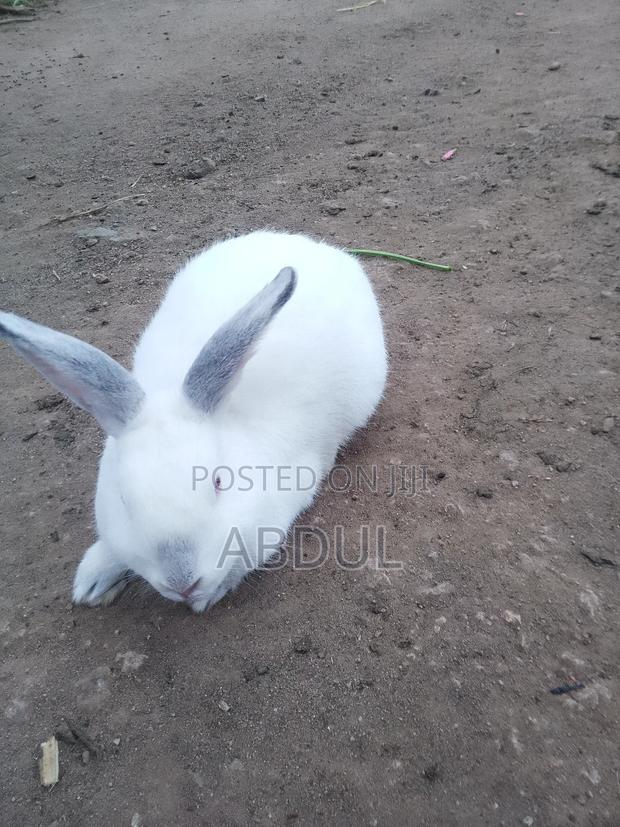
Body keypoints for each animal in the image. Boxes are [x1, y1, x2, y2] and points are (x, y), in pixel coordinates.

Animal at [0, 231, 387, 611]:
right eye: (123, 499)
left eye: (219, 481)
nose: (182, 583)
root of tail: (314, 246)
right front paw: (92, 582)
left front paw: (210, 595)